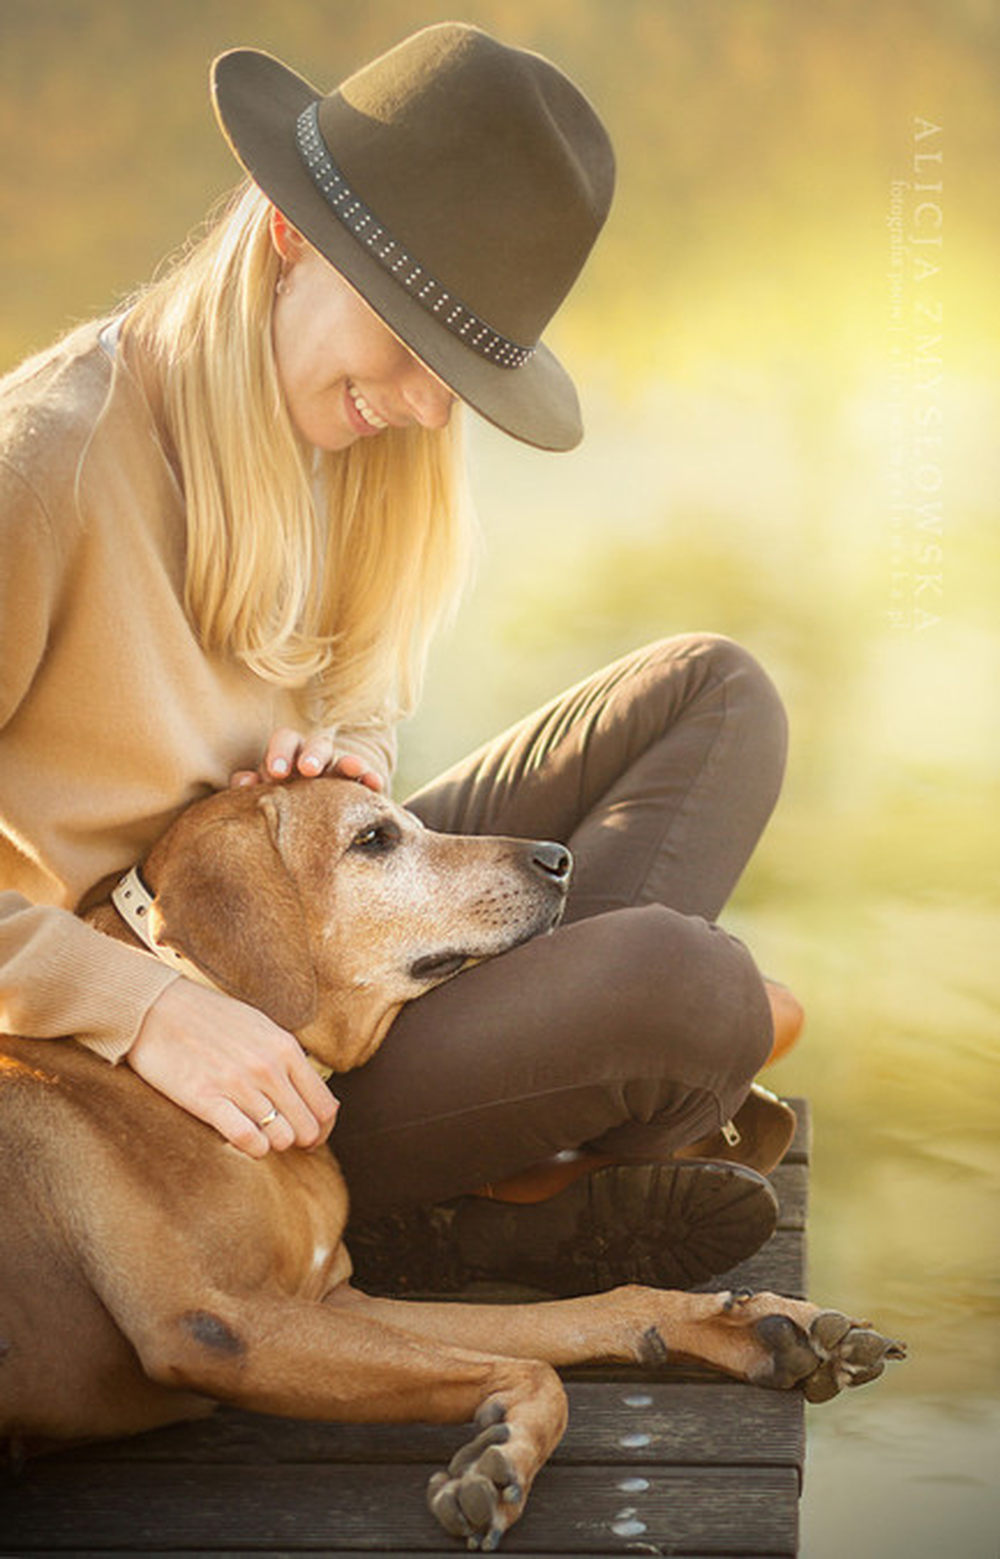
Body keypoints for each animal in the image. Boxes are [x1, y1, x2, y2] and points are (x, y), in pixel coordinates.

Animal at [0, 776, 898, 1546]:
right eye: (373, 838)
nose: (559, 857)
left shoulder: (335, 1301)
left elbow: (564, 1320)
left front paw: (746, 1321)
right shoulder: (221, 1324)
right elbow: (534, 1367)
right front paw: (501, 1459)